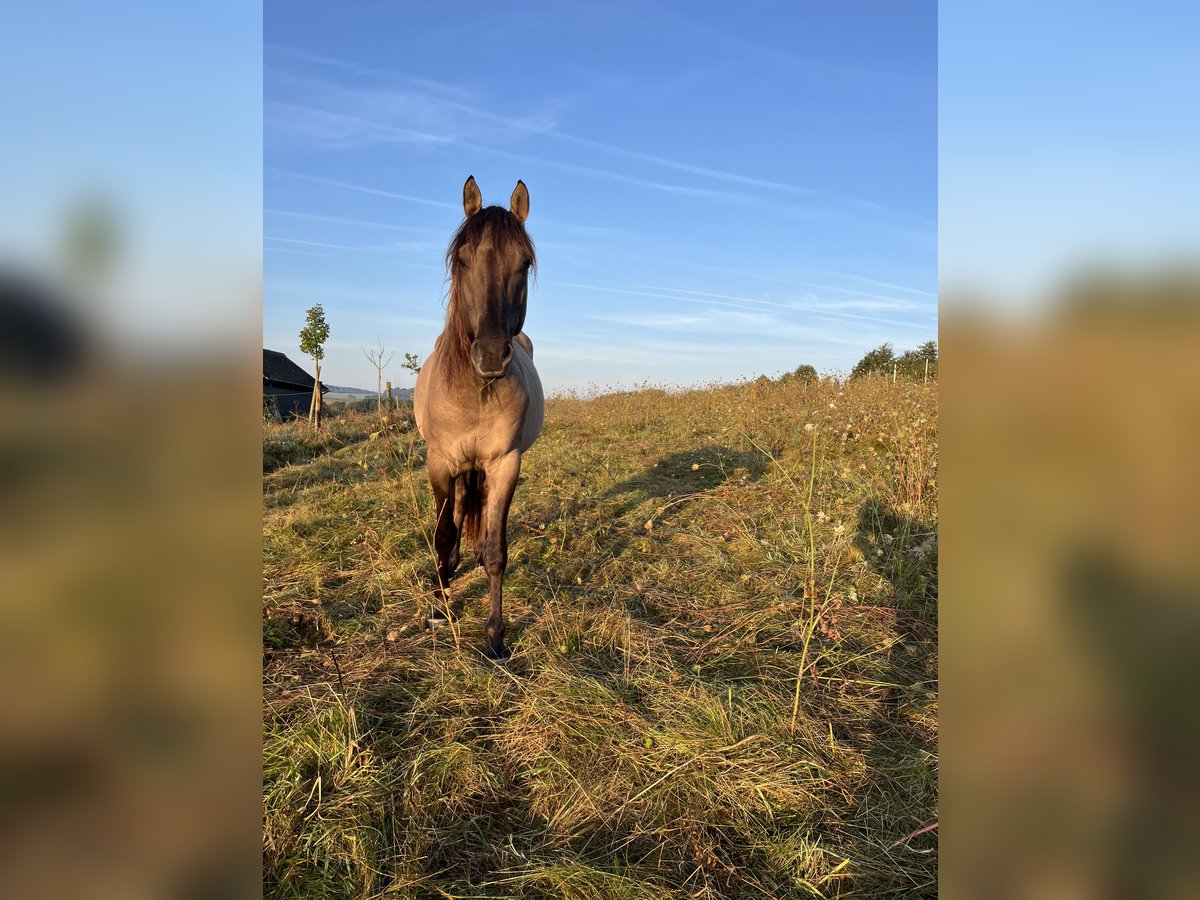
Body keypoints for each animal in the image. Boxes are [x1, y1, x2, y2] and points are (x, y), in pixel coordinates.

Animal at [412, 176, 544, 662]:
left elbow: (495, 550)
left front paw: (495, 637)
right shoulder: (439, 463)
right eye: (463, 260)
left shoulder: (505, 464)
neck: (474, 393)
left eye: (524, 263)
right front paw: (438, 608)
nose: (489, 355)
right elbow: (443, 535)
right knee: (450, 526)